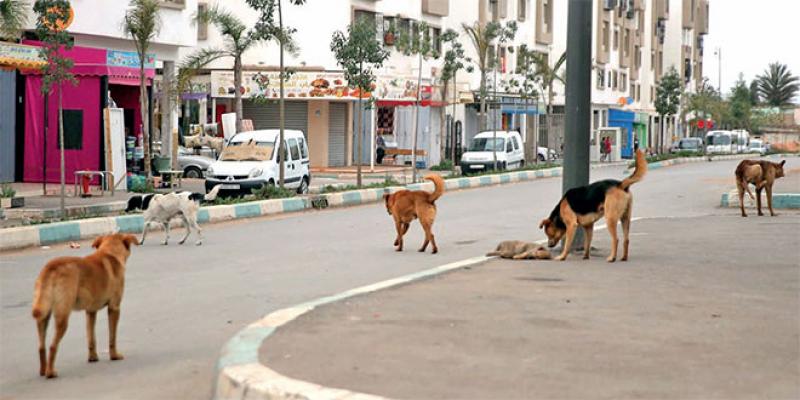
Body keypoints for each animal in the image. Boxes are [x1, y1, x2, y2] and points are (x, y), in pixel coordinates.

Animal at [32, 231, 139, 378]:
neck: (110, 252)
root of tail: (51, 267)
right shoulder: (114, 308)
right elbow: (112, 337)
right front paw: (114, 355)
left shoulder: (90, 311)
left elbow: (91, 338)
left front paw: (93, 357)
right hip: (62, 316)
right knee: (52, 346)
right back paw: (50, 372)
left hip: (44, 315)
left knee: (41, 346)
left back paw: (43, 370)